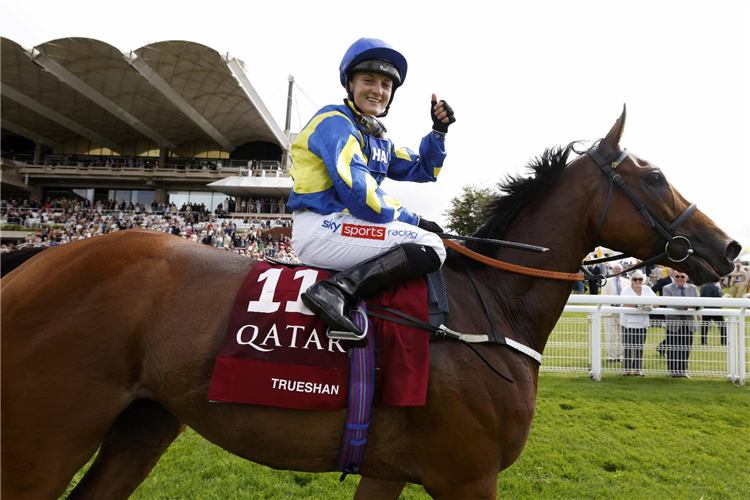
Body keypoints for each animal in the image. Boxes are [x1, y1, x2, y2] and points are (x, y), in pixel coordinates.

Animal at [0, 107, 740, 498]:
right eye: (655, 176)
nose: (728, 247)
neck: (487, 309)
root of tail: (36, 257)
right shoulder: (467, 477)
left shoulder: (390, 471)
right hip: (44, 437)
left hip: (145, 422)